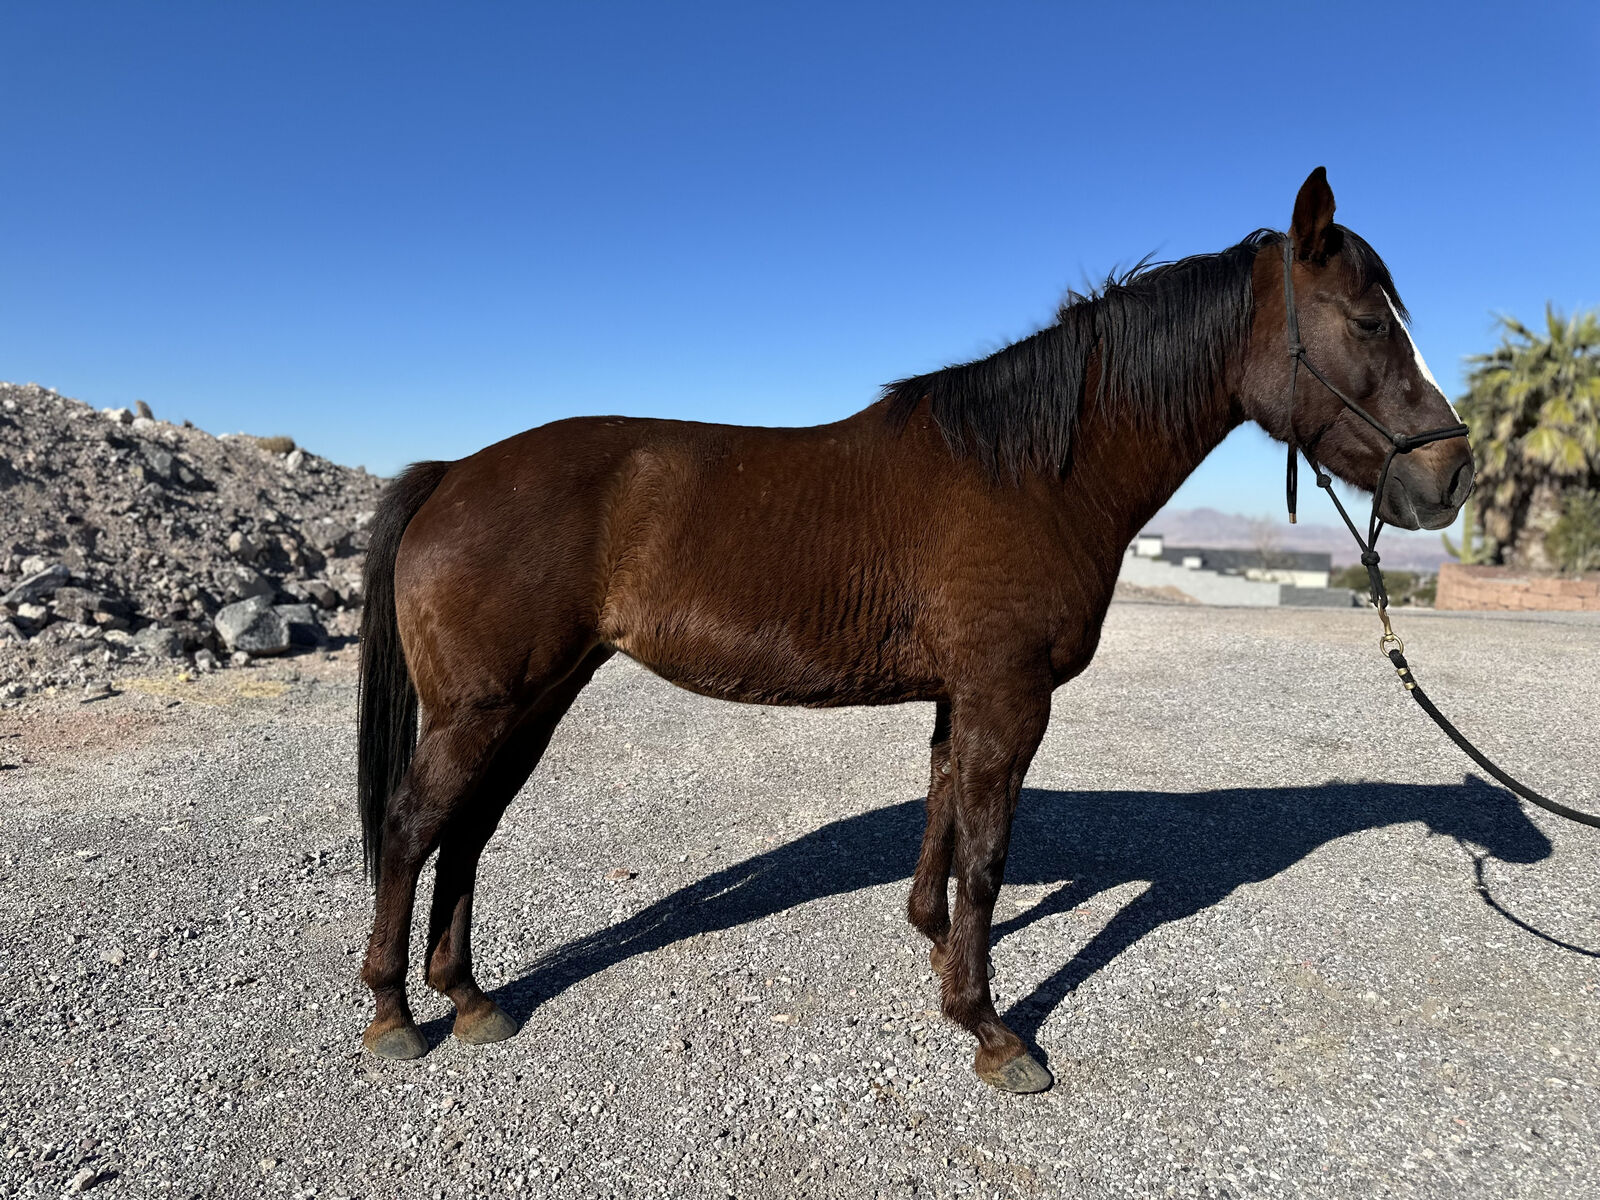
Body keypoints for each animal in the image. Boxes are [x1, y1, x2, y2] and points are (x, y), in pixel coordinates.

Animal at [354, 167, 1475, 1092]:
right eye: (1368, 324)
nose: (1452, 474)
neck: (1034, 474)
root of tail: (451, 472)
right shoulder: (1007, 698)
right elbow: (985, 854)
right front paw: (990, 1029)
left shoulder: (962, 698)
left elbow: (942, 821)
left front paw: (935, 952)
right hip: (482, 708)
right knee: (413, 829)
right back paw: (394, 1014)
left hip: (534, 701)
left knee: (468, 832)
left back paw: (471, 1000)